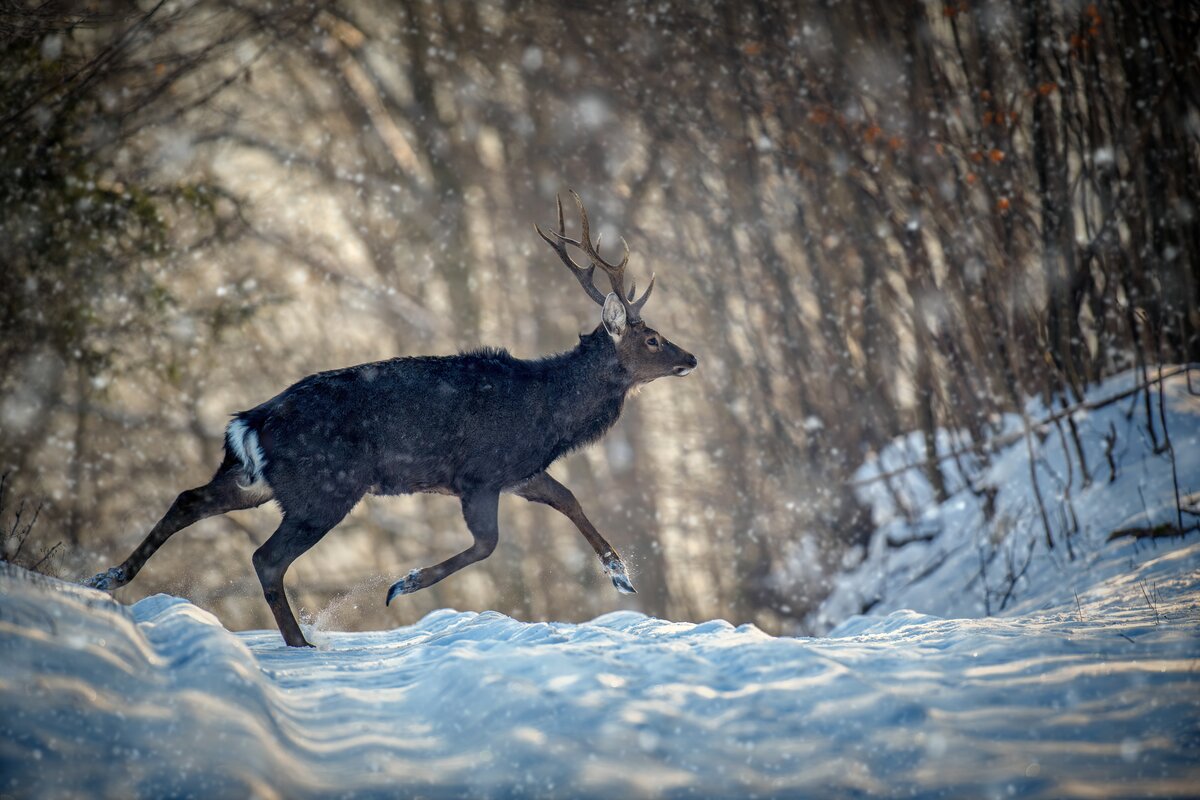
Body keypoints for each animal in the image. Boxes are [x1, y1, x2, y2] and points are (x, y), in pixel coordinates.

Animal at [84, 190, 700, 647]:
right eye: (651, 337)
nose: (690, 357)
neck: (548, 411)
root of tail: (249, 421)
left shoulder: (520, 472)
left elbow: (571, 501)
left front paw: (620, 575)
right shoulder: (478, 474)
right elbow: (489, 544)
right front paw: (403, 585)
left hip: (257, 481)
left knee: (189, 498)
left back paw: (107, 577)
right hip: (325, 488)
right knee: (265, 557)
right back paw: (301, 642)